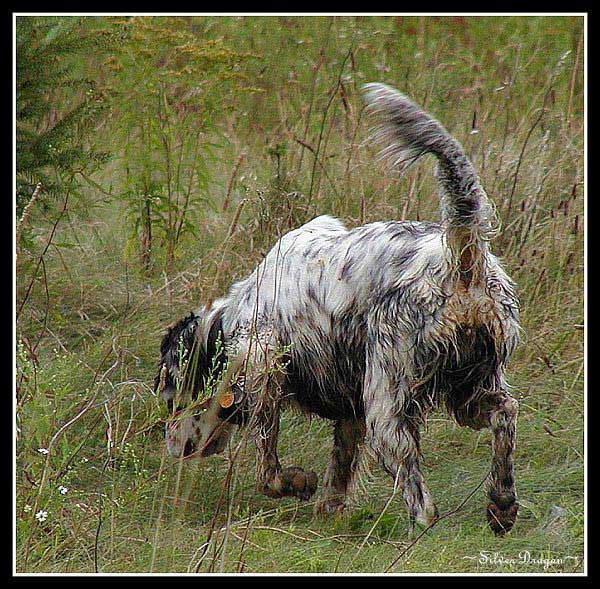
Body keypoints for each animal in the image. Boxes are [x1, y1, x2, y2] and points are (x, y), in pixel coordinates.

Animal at [154, 85, 520, 536]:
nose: (171, 444)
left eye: (172, 399)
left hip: (388, 407)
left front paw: (296, 481)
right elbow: (339, 469)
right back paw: (501, 503)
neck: (233, 315)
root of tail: (459, 256)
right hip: (469, 391)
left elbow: (268, 468)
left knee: (418, 493)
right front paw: (328, 513)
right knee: (505, 415)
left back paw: (422, 527)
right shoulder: (350, 412)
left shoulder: (263, 363)